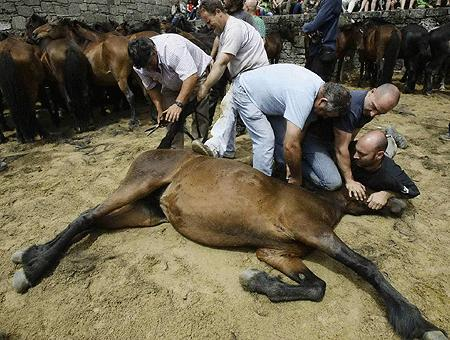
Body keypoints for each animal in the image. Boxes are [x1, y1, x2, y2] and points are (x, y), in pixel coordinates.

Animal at [10, 151, 446, 340]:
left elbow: (315, 286)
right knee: (86, 215)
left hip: (144, 212)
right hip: (138, 185)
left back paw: (28, 254)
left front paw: (256, 282)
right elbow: (365, 266)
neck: (320, 201)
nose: (411, 192)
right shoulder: (311, 230)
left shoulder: (277, 252)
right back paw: (33, 269)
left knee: (94, 220)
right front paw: (418, 323)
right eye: (385, 163)